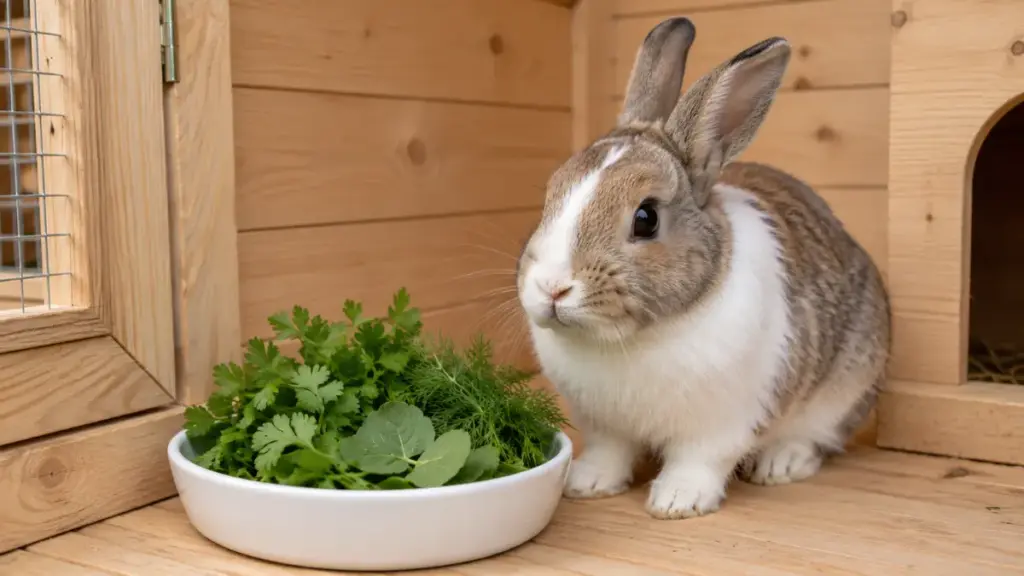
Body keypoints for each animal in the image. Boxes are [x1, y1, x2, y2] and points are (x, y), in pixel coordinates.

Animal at [515, 17, 891, 520]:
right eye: (551, 193)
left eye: (646, 218)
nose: (552, 287)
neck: (629, 340)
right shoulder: (604, 427)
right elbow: (609, 453)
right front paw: (587, 484)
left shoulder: (720, 424)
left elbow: (699, 461)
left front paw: (677, 502)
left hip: (843, 390)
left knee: (815, 439)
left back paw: (781, 464)